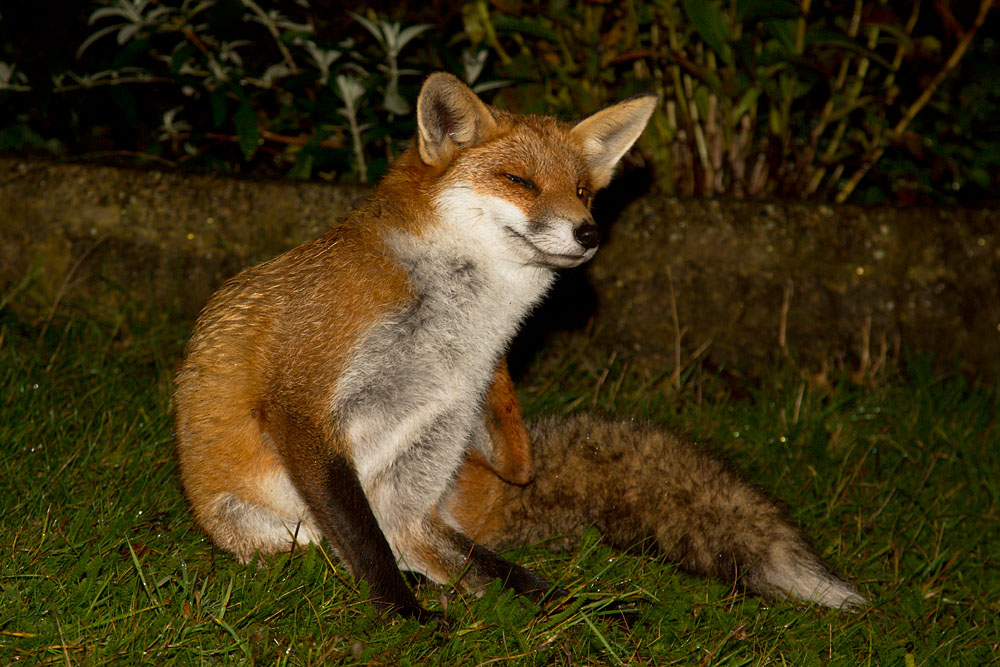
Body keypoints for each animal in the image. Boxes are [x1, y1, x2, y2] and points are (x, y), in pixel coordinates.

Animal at [173, 72, 659, 620]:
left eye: (581, 192)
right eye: (519, 181)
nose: (589, 232)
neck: (456, 333)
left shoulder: (434, 431)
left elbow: (475, 563)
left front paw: (577, 607)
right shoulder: (303, 401)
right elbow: (366, 541)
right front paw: (405, 615)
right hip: (264, 524)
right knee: (328, 554)